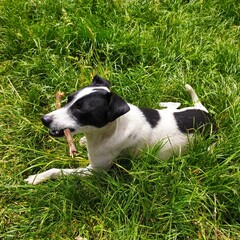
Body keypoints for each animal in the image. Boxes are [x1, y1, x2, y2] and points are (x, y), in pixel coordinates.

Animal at [25, 74, 215, 184]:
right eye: (69, 99)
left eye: (80, 110)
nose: (44, 120)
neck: (111, 128)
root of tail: (207, 115)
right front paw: (83, 140)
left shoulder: (94, 171)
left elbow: (58, 171)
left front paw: (37, 177)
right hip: (177, 110)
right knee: (175, 105)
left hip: (206, 148)